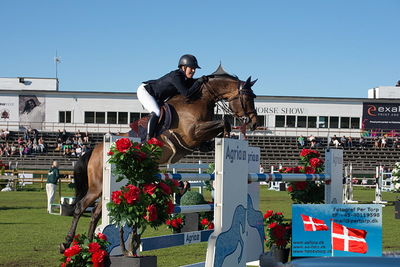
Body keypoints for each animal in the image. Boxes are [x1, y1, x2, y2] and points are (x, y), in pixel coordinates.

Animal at [60, 66, 258, 252]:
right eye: (248, 97)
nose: (254, 123)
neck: (200, 99)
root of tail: (95, 150)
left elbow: (218, 129)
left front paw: (225, 138)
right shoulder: (192, 133)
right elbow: (223, 122)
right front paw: (227, 134)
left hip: (107, 190)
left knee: (95, 213)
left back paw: (92, 243)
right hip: (98, 186)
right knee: (80, 207)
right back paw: (67, 243)